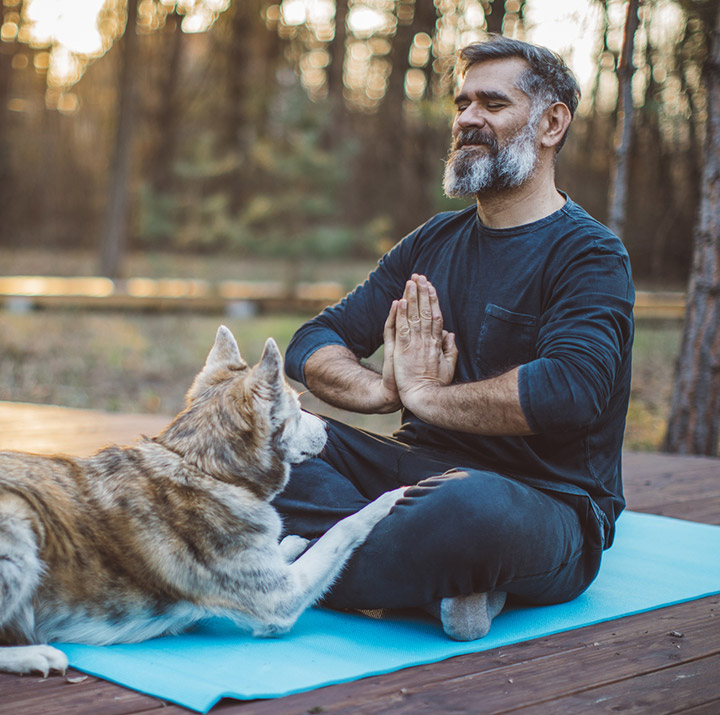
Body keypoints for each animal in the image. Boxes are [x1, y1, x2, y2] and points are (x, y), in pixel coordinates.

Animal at [0, 328, 404, 680]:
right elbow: (344, 527)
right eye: (295, 407)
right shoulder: (280, 601)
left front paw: (289, 543)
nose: (328, 428)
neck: (202, 466)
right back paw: (36, 655)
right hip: (18, 529)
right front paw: (392, 496)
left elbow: (288, 549)